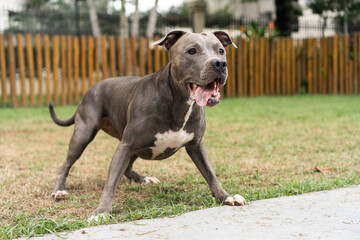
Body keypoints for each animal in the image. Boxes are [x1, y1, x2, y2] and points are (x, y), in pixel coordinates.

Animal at [49, 30, 246, 219]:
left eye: (221, 50)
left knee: (127, 169)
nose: (220, 64)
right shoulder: (125, 146)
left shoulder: (195, 145)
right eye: (192, 51)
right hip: (84, 135)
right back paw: (59, 190)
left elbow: (210, 174)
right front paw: (101, 211)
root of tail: (90, 89)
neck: (178, 102)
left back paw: (144, 179)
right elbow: (110, 182)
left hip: (135, 148)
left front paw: (225, 196)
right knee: (65, 165)